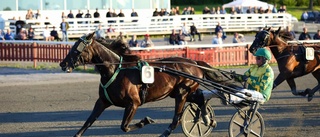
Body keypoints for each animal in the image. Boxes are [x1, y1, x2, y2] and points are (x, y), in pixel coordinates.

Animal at [59, 32, 232, 136]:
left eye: (77, 49)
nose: (62, 64)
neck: (116, 70)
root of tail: (194, 62)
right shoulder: (102, 101)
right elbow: (88, 122)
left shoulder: (133, 103)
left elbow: (124, 126)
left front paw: (146, 121)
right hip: (179, 92)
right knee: (200, 99)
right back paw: (208, 120)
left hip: (182, 92)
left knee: (176, 118)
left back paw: (167, 132)